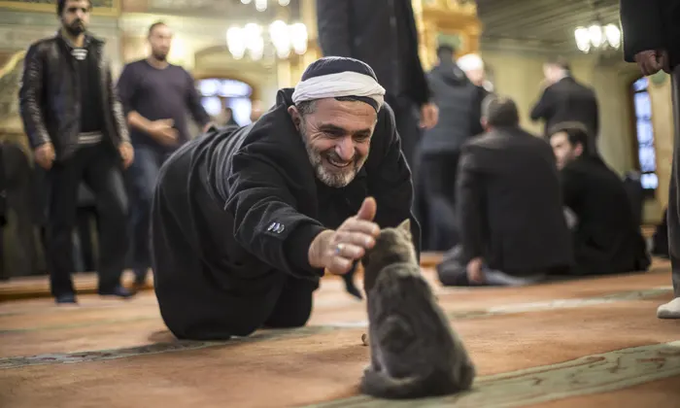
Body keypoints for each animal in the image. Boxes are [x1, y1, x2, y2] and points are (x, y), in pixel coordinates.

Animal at [358, 218, 476, 400]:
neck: (394, 261)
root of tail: (438, 374)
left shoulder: (373, 318)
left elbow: (373, 351)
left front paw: (371, 367)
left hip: (391, 325)